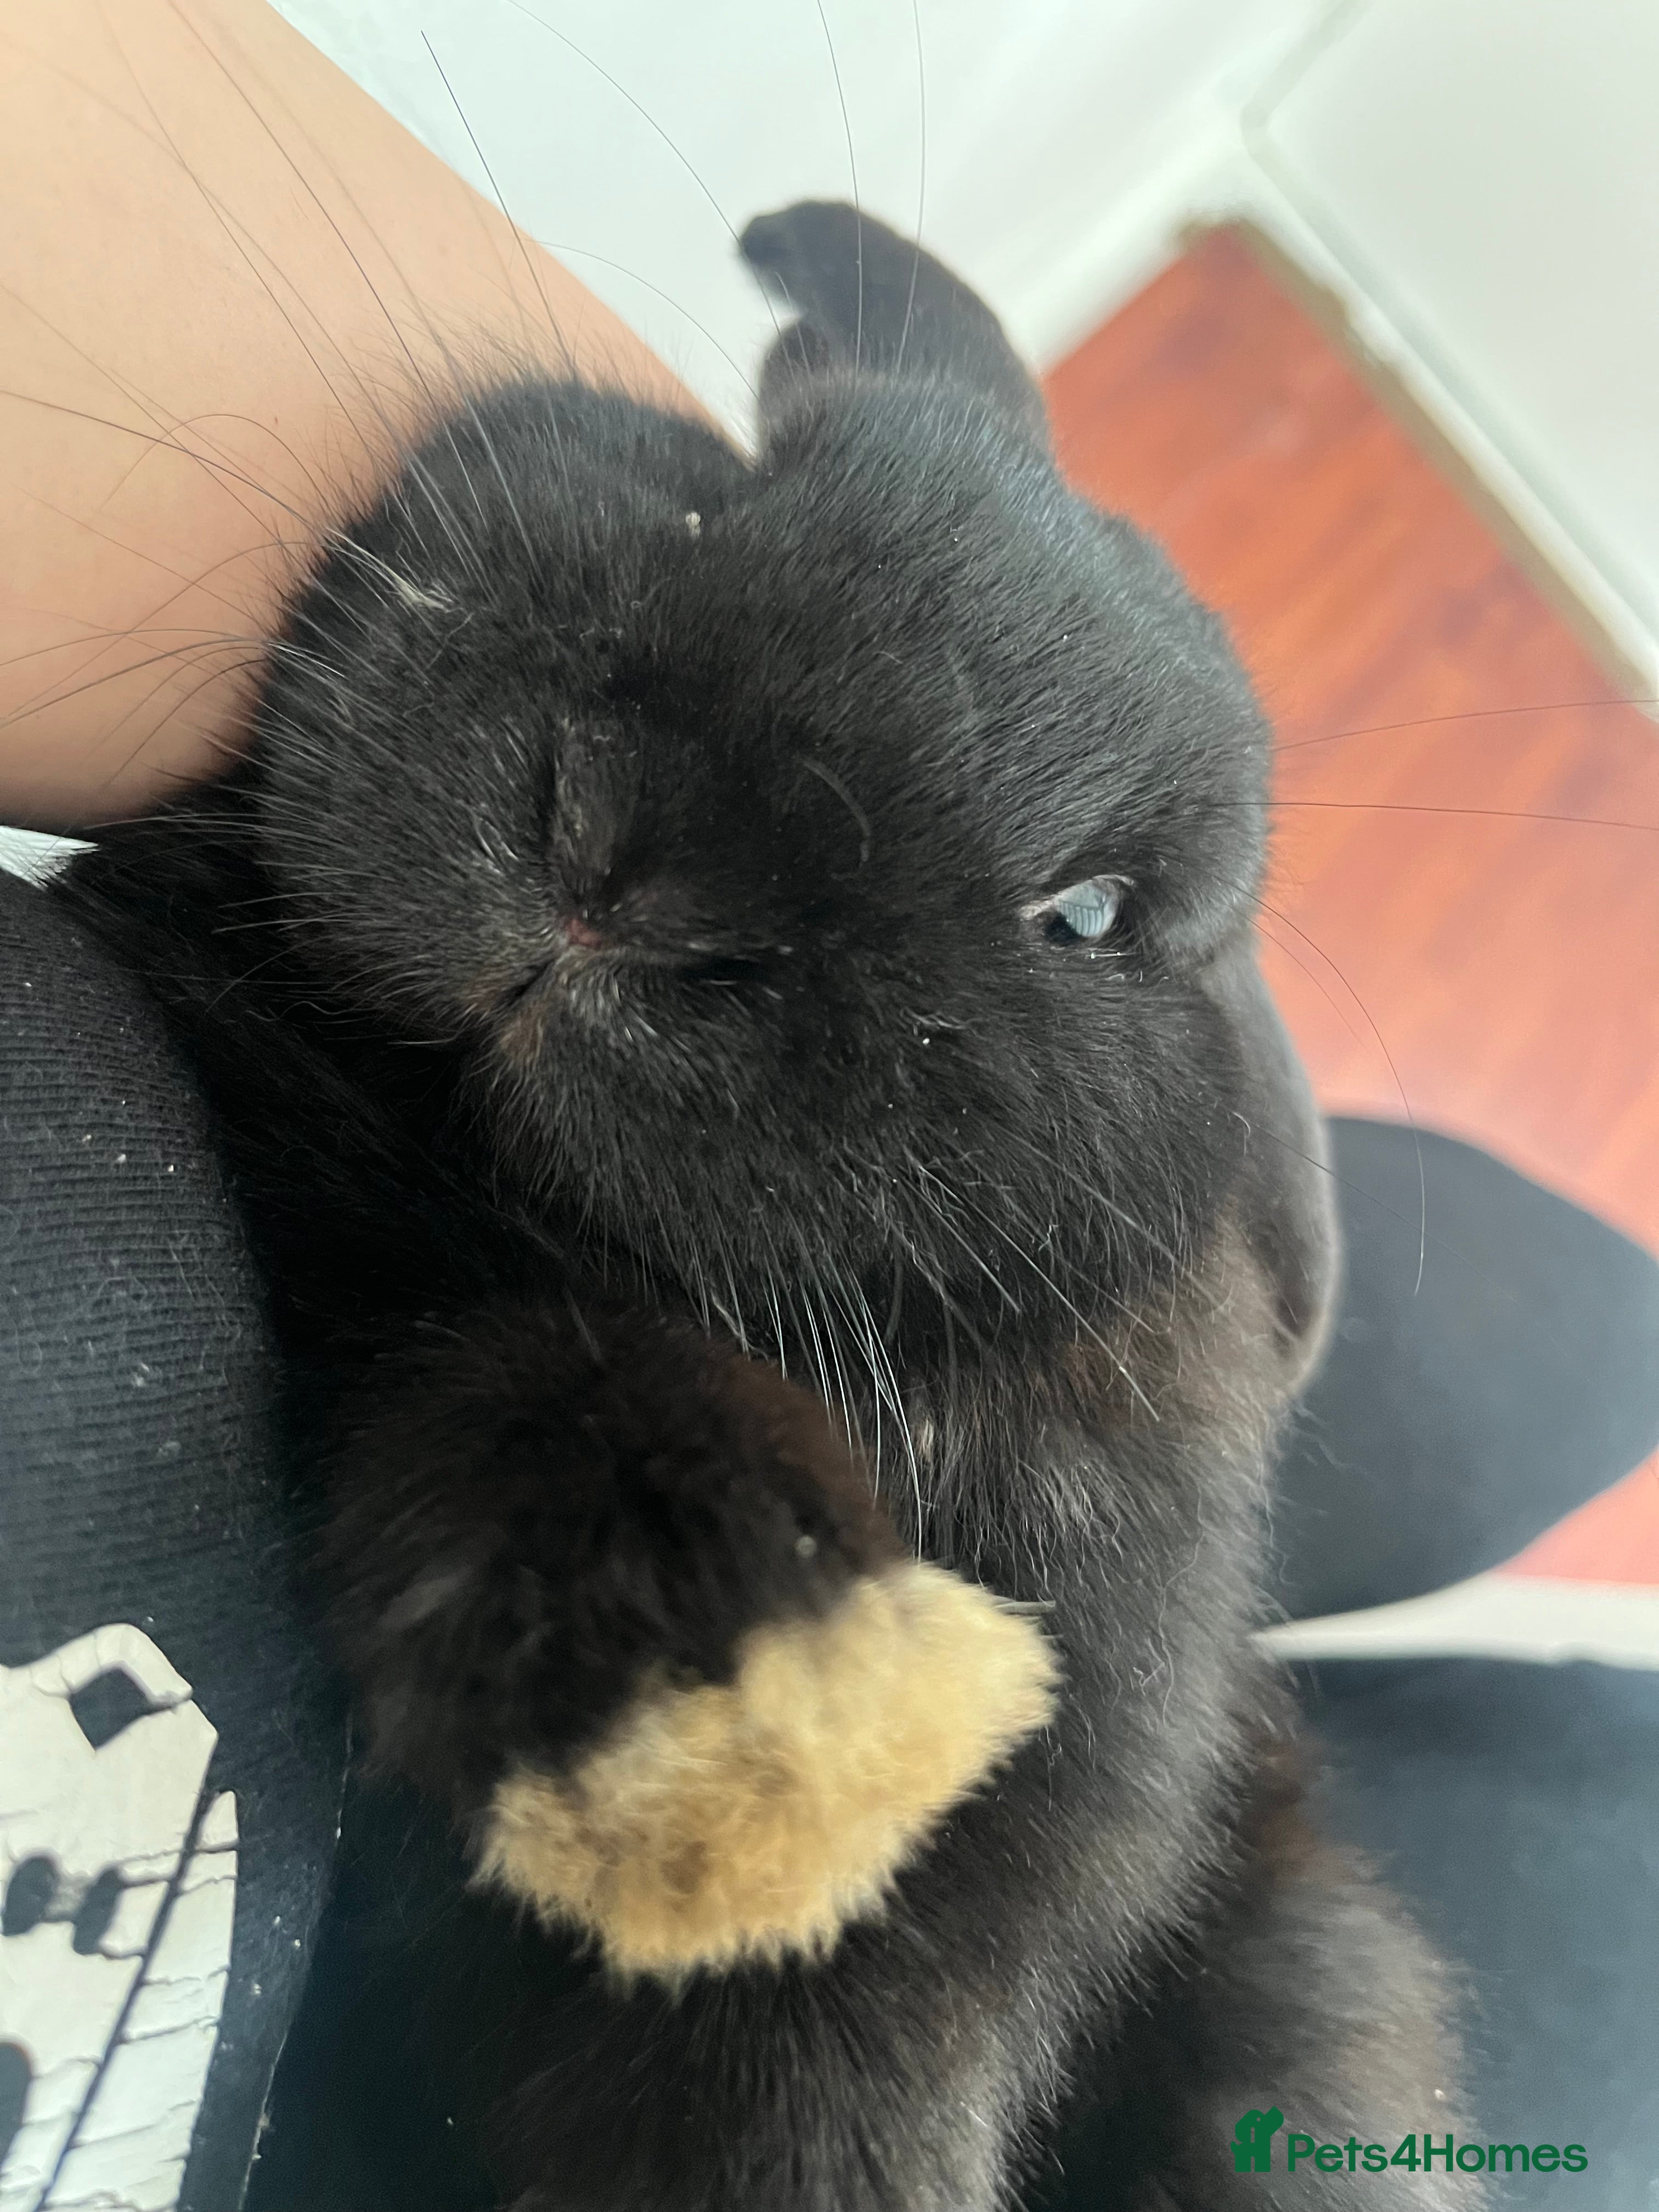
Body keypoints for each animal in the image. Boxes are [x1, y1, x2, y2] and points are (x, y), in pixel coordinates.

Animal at [54, 200, 1480, 2209]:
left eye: (1093, 915)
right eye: (728, 490)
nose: (622, 869)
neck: (476, 1183)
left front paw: (772, 1729)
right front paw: (750, 1697)